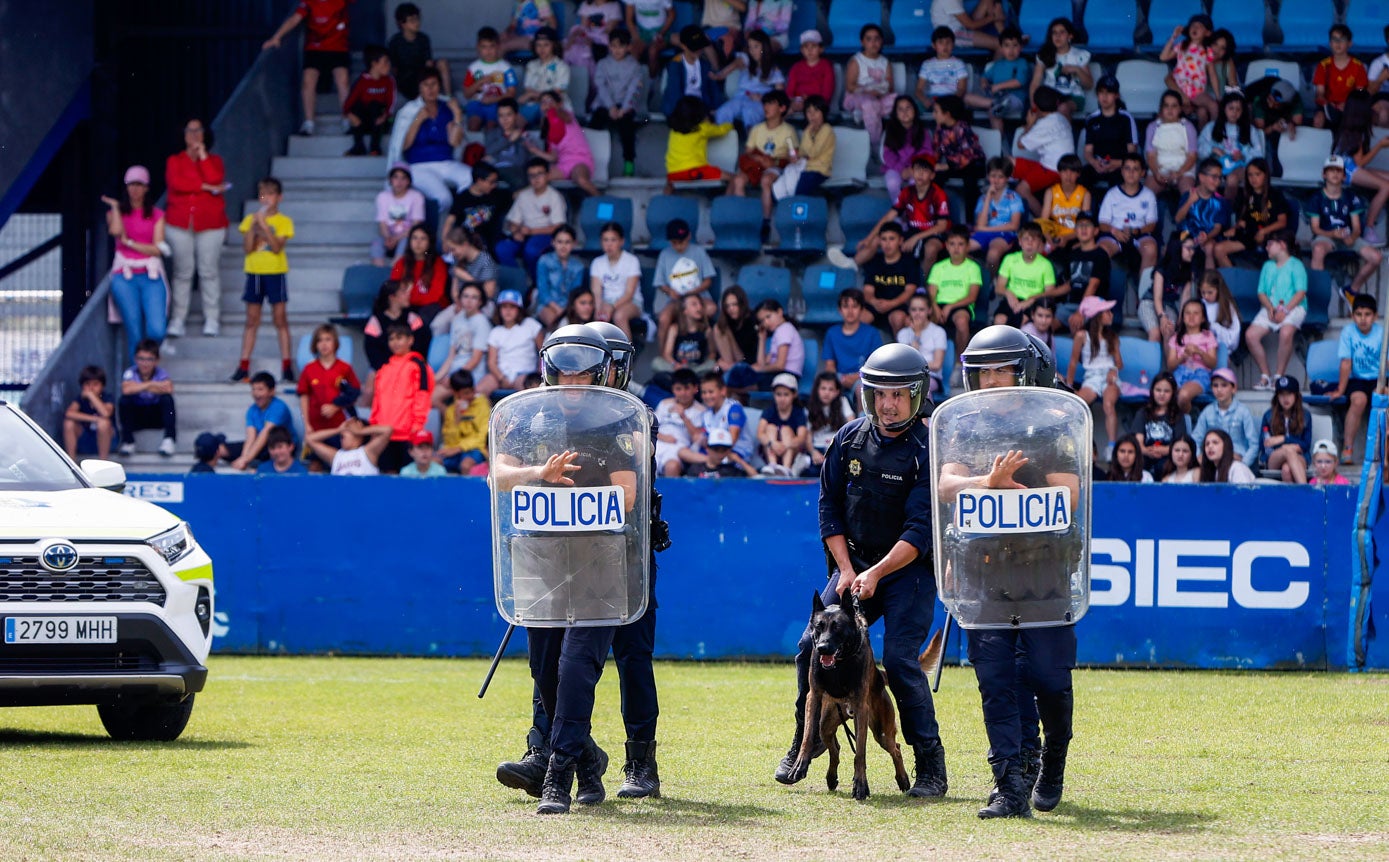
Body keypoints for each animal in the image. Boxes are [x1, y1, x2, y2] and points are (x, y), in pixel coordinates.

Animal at [794, 591, 911, 799]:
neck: (840, 663)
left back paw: (903, 779)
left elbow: (860, 753)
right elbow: (807, 735)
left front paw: (861, 784)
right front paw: (801, 764)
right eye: (818, 626)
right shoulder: (813, 696)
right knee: (834, 749)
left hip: (882, 731)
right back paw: (831, 777)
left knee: (895, 748)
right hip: (826, 724)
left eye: (837, 627)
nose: (822, 647)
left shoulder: (861, 708)